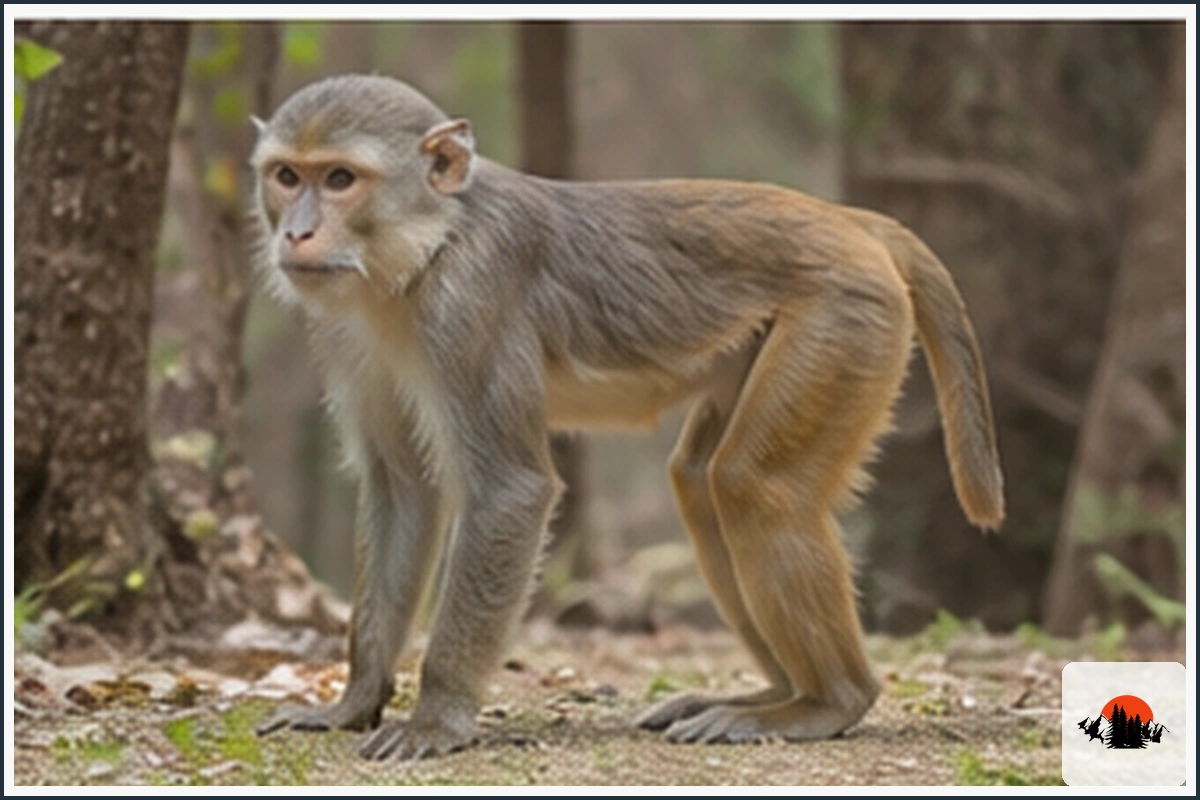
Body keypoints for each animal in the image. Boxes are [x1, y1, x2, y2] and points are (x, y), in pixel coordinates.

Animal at [251, 75, 1004, 760]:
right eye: (287, 176)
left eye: (341, 179)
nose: (297, 232)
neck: (426, 249)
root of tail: (850, 220)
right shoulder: (345, 332)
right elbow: (403, 489)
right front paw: (353, 701)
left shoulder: (468, 306)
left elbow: (511, 492)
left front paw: (438, 717)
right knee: (702, 482)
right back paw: (773, 692)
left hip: (845, 314)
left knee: (753, 488)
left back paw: (826, 702)